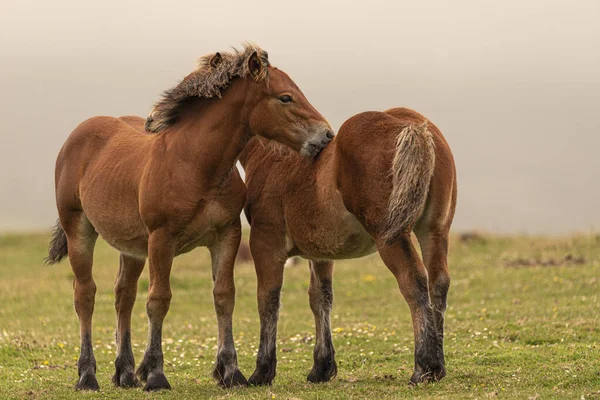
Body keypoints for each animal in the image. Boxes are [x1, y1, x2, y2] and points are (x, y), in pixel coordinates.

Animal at [45, 43, 332, 390]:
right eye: (286, 97)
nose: (326, 135)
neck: (196, 165)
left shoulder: (226, 235)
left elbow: (224, 296)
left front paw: (230, 371)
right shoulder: (161, 239)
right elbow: (159, 299)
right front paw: (156, 374)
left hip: (132, 246)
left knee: (123, 295)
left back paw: (125, 372)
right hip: (79, 230)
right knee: (85, 295)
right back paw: (87, 375)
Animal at [241, 106, 458, 384]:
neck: (269, 153)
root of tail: (413, 126)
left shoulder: (265, 243)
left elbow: (267, 299)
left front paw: (262, 372)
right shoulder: (320, 251)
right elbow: (320, 297)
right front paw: (321, 368)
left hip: (392, 236)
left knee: (413, 280)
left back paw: (423, 367)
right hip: (435, 231)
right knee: (438, 283)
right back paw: (438, 366)